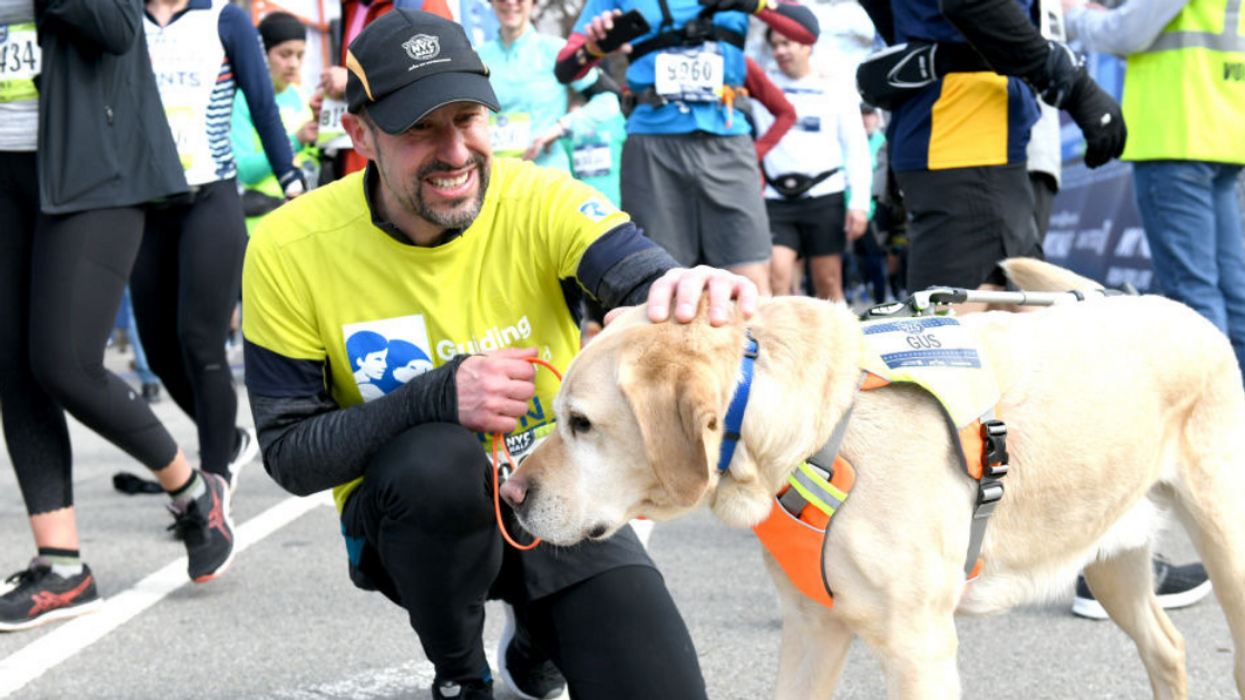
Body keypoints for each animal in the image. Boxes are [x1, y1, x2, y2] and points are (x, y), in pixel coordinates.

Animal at [500, 259, 1245, 692]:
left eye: (581, 423)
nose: (509, 493)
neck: (819, 434)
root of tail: (1173, 304)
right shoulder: (812, 630)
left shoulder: (919, 648)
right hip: (1108, 552)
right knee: (1167, 648)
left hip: (1224, 544)